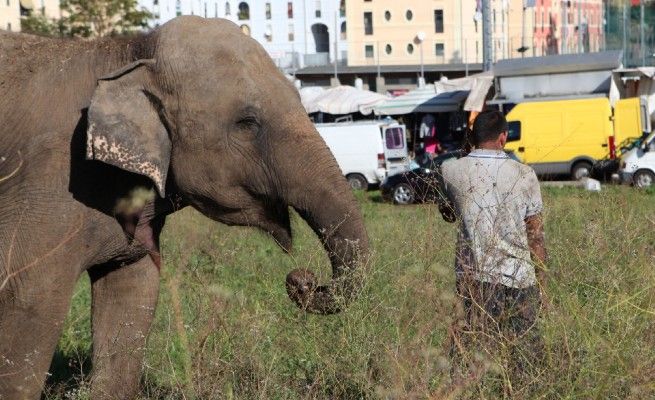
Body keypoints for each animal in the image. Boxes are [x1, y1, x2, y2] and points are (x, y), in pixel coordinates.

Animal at [0, 16, 369, 399]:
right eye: (247, 122)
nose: (303, 280)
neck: (130, 50)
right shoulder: (48, 181)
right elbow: (29, 297)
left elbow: (134, 293)